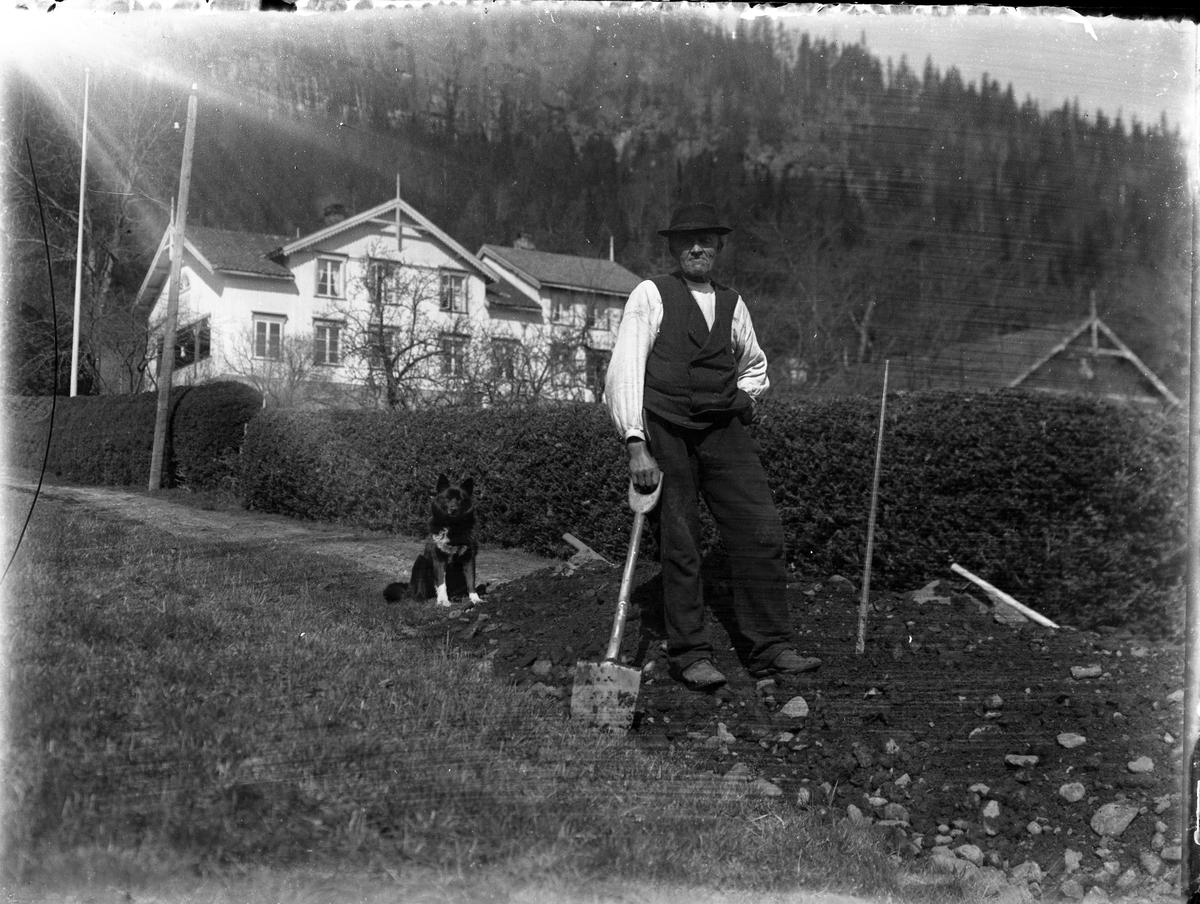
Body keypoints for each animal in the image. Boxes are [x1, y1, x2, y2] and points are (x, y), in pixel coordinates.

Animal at [381, 473, 480, 607]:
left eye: (460, 499)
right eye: (447, 499)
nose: (453, 509)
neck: (453, 527)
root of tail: (408, 589)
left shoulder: (469, 558)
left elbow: (471, 581)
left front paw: (475, 599)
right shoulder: (439, 558)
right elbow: (441, 582)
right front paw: (443, 601)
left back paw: (456, 597)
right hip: (421, 561)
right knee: (419, 592)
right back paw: (422, 599)